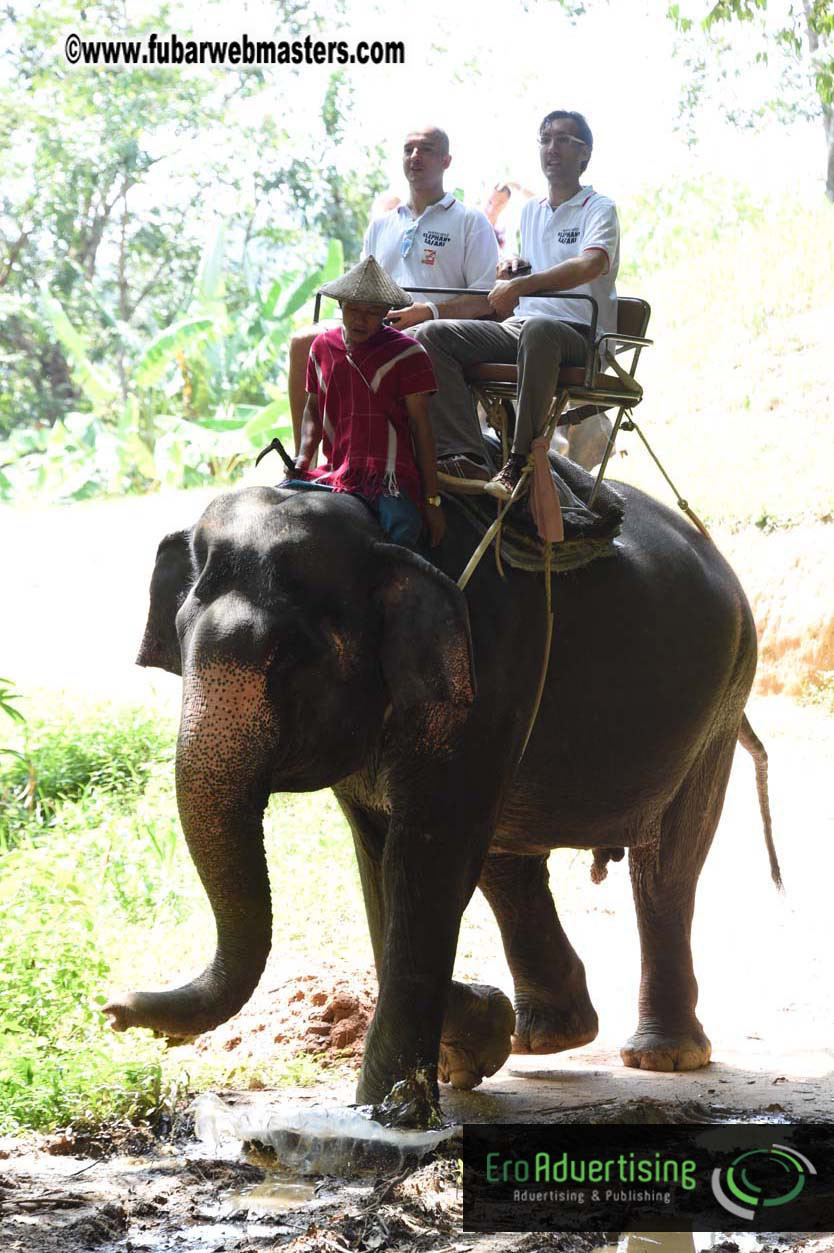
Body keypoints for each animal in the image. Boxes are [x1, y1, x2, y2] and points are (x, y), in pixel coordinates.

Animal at [104, 474, 779, 1127]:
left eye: (291, 658)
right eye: (181, 639)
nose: (112, 1008)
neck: (376, 527)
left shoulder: (491, 664)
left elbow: (425, 855)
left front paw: (388, 1109)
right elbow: (381, 862)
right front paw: (472, 1046)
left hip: (724, 695)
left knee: (666, 867)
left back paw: (663, 1056)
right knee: (508, 860)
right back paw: (547, 1037)